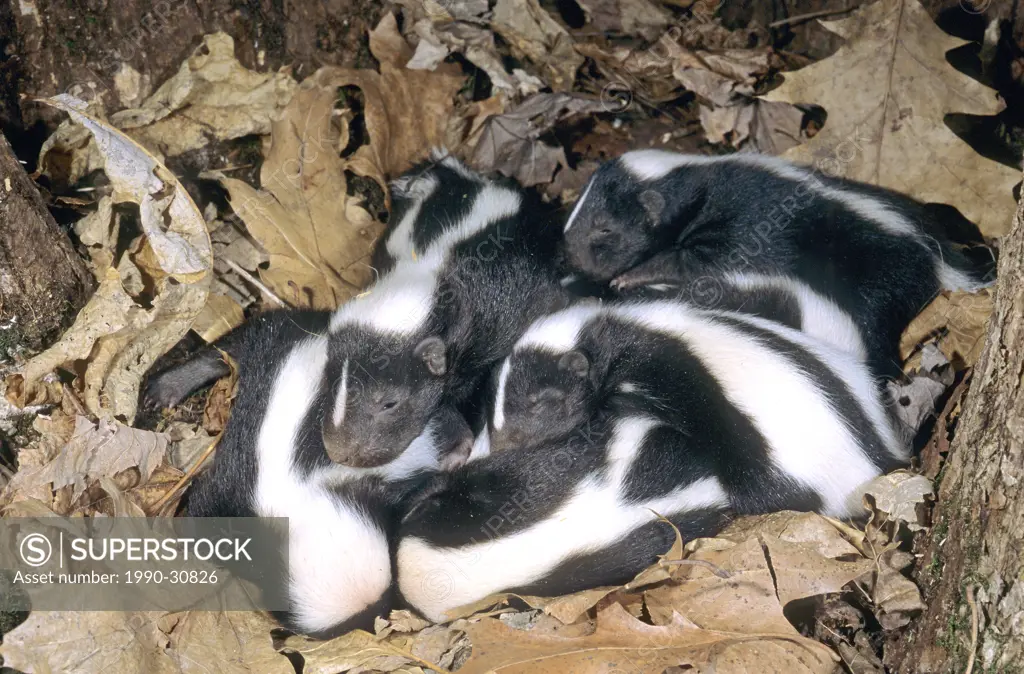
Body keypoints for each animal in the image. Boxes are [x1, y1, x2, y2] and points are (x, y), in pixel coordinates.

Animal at [321, 153, 569, 467]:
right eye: (330, 390)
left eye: (389, 403)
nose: (338, 453)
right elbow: (442, 399)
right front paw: (455, 445)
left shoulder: (503, 299)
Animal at [565, 148, 995, 374]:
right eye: (578, 207)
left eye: (604, 230)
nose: (569, 253)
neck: (700, 186)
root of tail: (939, 256)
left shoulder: (744, 231)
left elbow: (694, 263)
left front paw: (634, 276)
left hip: (878, 284)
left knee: (874, 330)